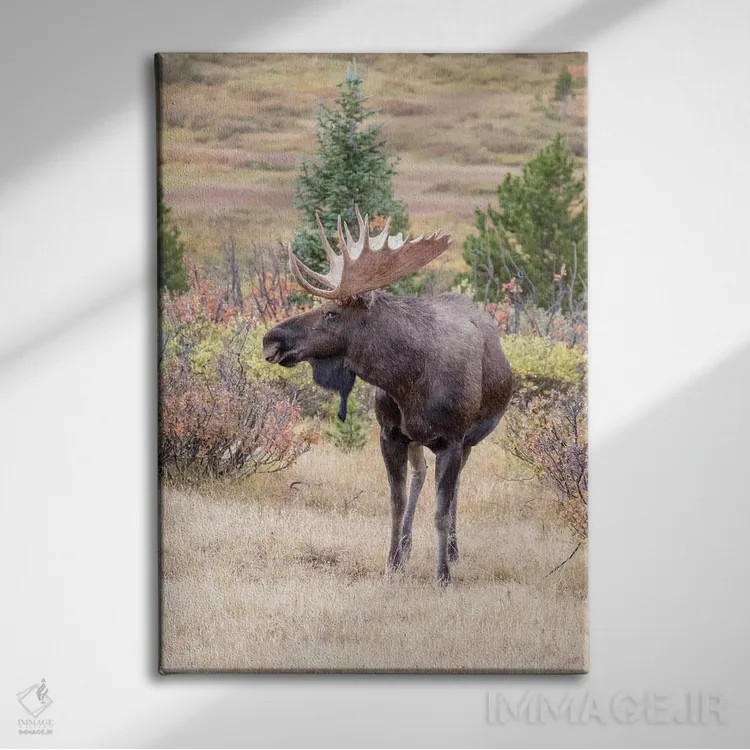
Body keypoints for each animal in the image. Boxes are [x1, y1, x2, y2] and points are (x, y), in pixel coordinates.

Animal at [263, 209, 513, 583]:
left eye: (332, 313)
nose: (272, 338)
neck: (408, 380)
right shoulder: (390, 434)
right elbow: (396, 502)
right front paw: (393, 563)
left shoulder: (453, 439)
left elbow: (441, 511)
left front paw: (442, 575)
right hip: (417, 440)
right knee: (420, 474)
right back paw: (409, 547)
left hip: (470, 438)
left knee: (454, 489)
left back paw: (453, 553)